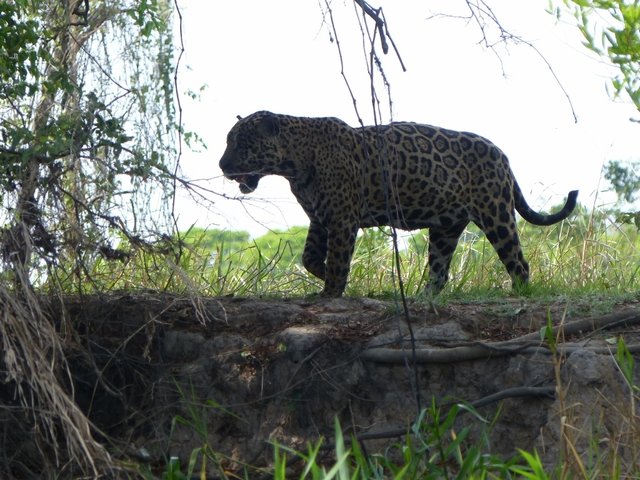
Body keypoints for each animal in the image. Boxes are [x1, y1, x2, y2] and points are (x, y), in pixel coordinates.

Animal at [219, 111, 578, 297]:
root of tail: (501, 154)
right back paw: (422, 298)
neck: (293, 163)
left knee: (518, 261)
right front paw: (321, 274)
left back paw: (520, 293)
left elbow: (338, 258)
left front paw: (331, 290)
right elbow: (308, 257)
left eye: (241, 143)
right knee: (439, 271)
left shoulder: (342, 219)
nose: (222, 165)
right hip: (446, 227)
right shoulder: (320, 219)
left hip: (495, 212)